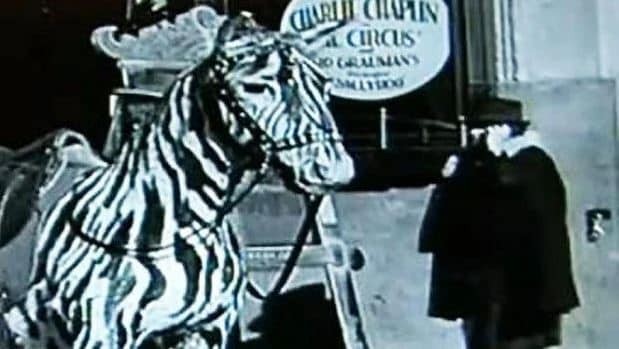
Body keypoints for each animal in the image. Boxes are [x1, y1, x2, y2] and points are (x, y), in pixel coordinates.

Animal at [0, 6, 356, 348]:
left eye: (324, 85)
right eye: (256, 86)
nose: (335, 168)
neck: (170, 227)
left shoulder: (208, 330)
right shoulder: (102, 336)